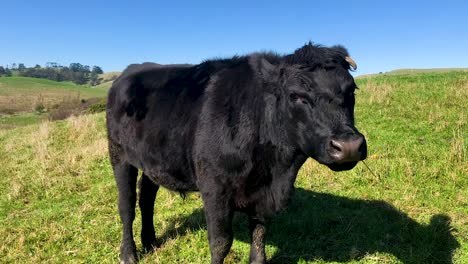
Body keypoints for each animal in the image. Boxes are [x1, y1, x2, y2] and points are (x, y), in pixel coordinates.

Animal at [108, 43, 368, 264]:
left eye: (352, 91)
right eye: (297, 96)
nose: (348, 146)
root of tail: (131, 70)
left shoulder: (264, 194)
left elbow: (260, 234)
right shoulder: (214, 189)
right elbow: (221, 243)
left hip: (152, 161)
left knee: (146, 197)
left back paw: (150, 241)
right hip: (119, 155)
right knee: (126, 206)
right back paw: (128, 254)